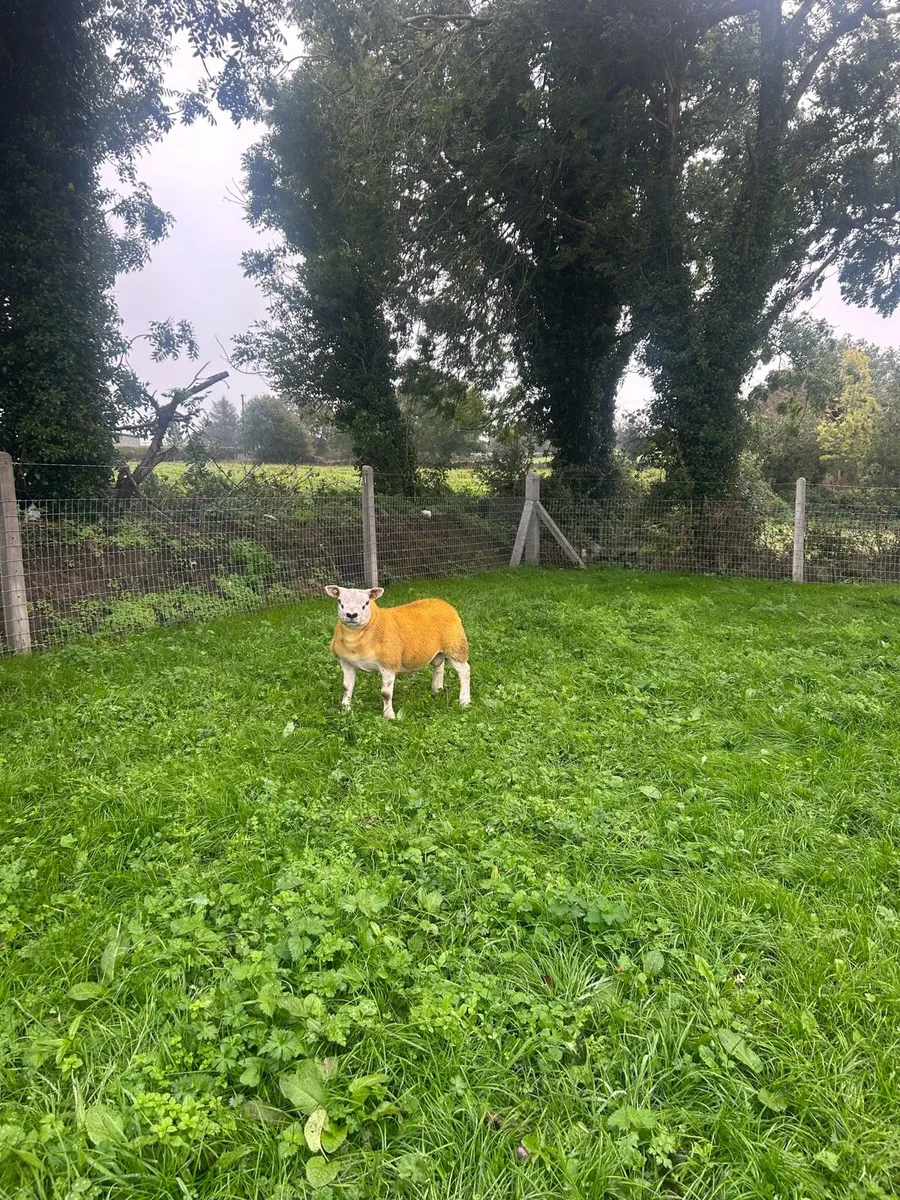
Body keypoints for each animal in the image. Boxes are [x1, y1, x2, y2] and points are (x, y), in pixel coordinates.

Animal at [324, 585, 470, 719]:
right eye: (339, 601)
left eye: (366, 603)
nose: (351, 615)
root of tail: (442, 602)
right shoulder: (346, 662)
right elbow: (346, 687)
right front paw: (345, 709)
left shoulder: (389, 664)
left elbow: (386, 693)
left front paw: (389, 716)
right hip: (440, 650)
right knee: (439, 666)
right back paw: (437, 690)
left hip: (456, 645)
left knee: (465, 671)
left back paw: (464, 701)